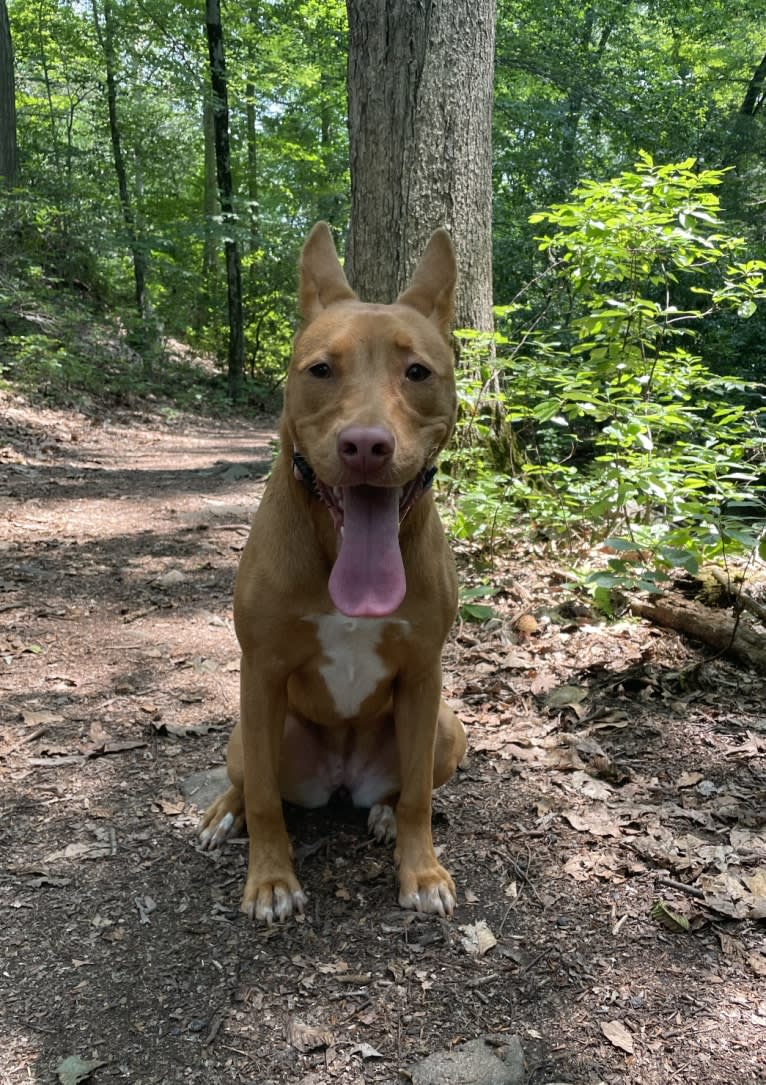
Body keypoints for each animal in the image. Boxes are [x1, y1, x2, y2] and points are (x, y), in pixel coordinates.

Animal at [199, 222, 462, 924]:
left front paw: (420, 870)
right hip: (247, 731)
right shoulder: (261, 671)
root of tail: (342, 780)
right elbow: (266, 800)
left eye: (417, 372)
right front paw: (269, 880)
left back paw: (381, 814)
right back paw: (223, 814)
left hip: (447, 728)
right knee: (249, 781)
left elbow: (419, 797)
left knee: (404, 787)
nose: (365, 445)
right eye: (321, 369)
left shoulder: (424, 674)